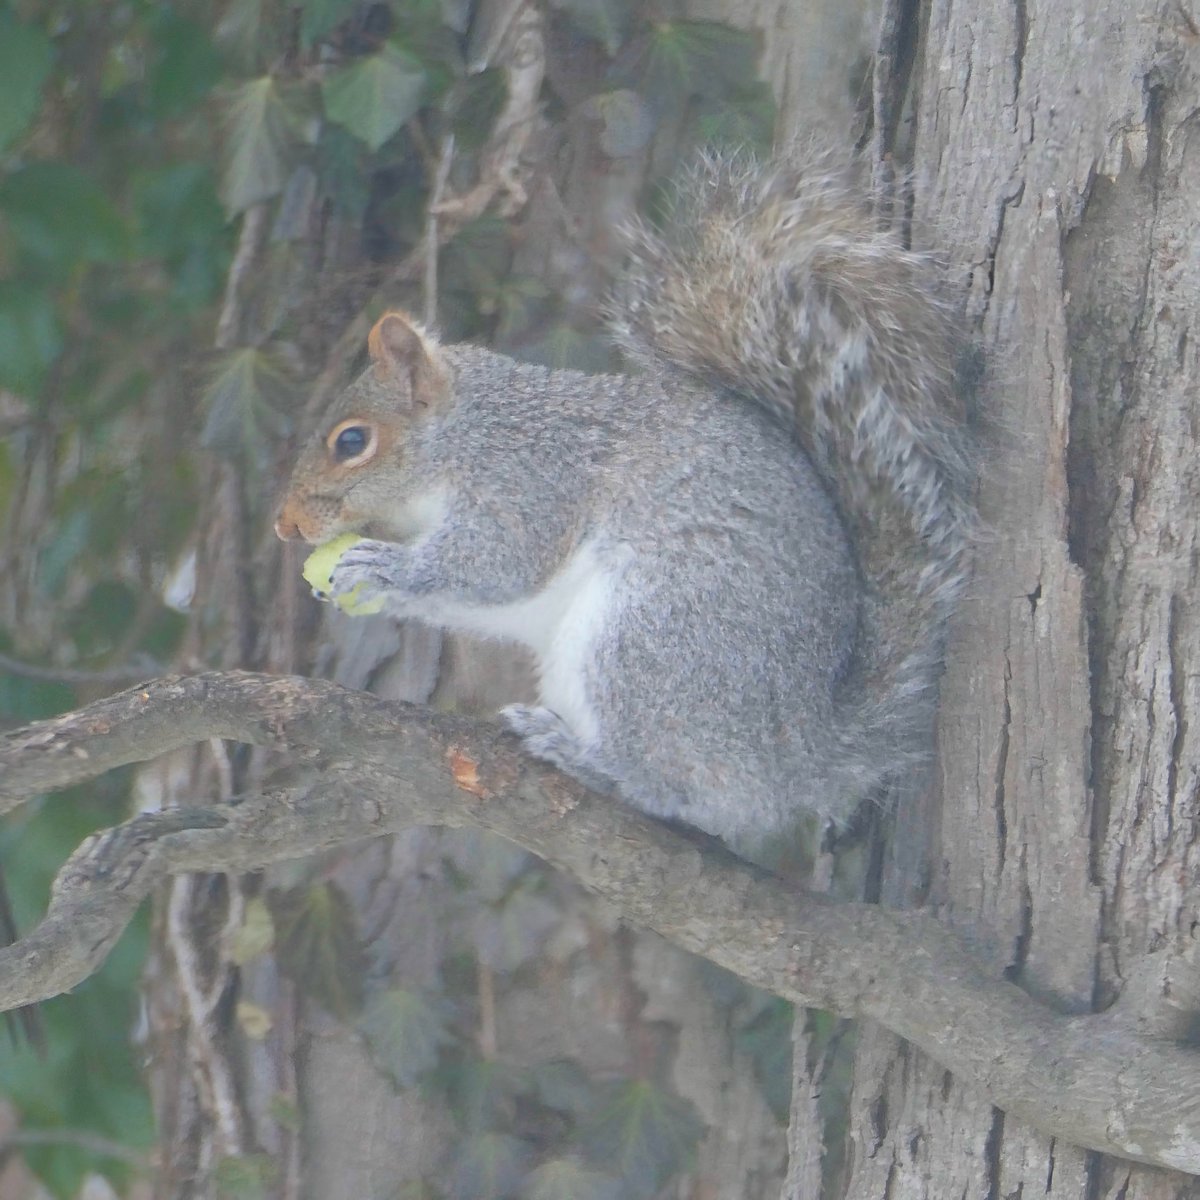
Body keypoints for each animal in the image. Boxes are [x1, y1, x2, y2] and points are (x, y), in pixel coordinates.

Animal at [274, 148, 974, 858]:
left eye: (352, 441)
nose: (285, 525)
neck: (468, 434)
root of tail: (802, 757)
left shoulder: (529, 484)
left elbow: (495, 565)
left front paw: (381, 568)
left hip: (652, 639)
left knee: (688, 790)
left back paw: (588, 760)